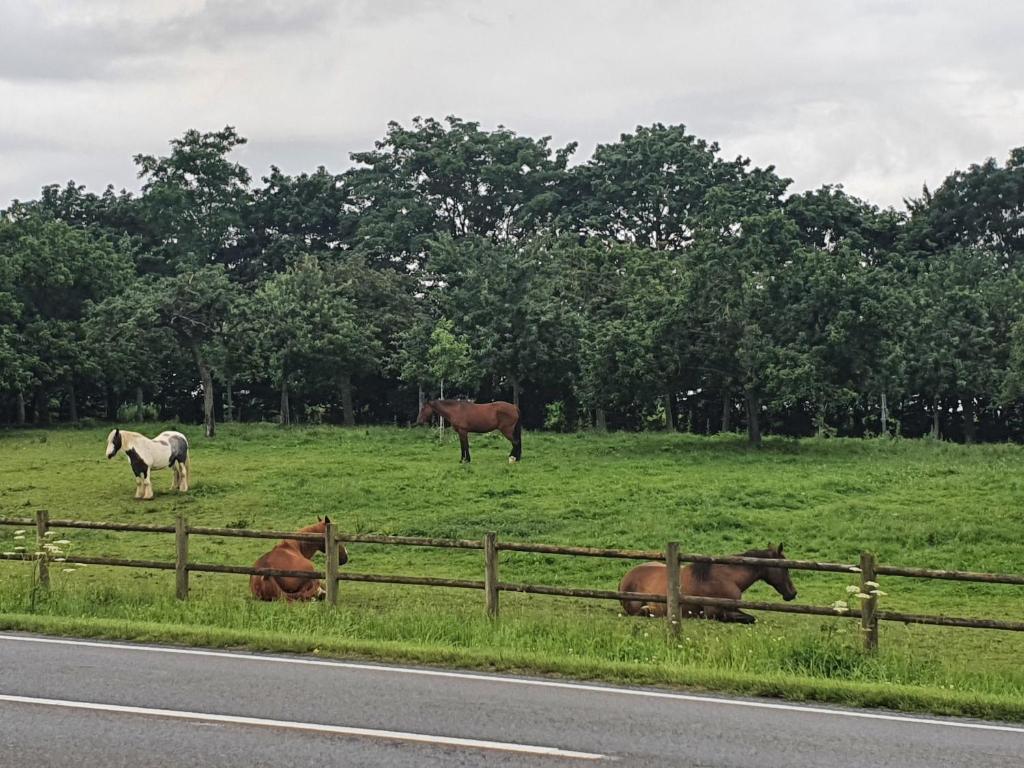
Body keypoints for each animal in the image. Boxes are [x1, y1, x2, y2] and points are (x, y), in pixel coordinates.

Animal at [614, 544, 798, 622]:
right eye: (785, 568)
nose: (793, 593)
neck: (728, 577)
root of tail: (625, 579)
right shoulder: (715, 612)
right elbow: (750, 618)